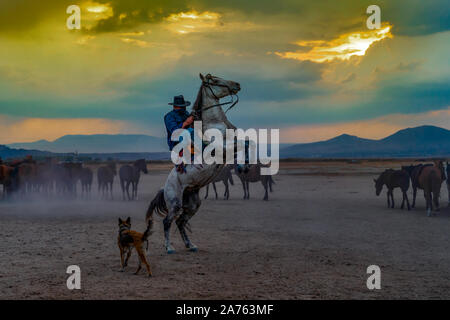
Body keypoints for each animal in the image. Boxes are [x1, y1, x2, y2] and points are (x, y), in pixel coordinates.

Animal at [146, 73, 241, 255]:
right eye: (215, 81)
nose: (237, 84)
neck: (215, 124)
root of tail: (164, 187)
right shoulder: (221, 148)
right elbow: (244, 143)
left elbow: (248, 142)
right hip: (175, 203)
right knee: (168, 221)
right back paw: (169, 247)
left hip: (193, 204)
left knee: (181, 222)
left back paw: (190, 245)